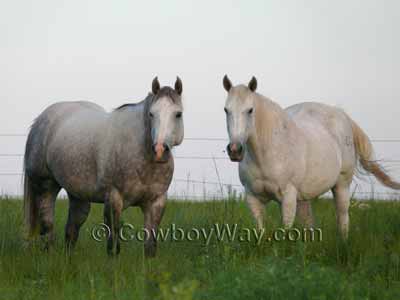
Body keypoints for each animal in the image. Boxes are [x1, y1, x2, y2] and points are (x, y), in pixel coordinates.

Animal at [23, 77, 183, 255]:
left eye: (178, 114)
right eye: (151, 114)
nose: (160, 150)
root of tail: (40, 120)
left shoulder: (156, 203)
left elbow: (150, 246)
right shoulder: (113, 199)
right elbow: (113, 244)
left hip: (78, 196)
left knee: (71, 230)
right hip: (46, 186)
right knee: (48, 226)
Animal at [222, 75, 400, 239]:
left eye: (250, 110)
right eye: (226, 110)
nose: (235, 150)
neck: (266, 154)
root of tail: (342, 114)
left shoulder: (288, 197)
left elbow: (286, 229)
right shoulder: (253, 198)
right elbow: (260, 230)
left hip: (342, 185)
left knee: (342, 218)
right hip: (304, 197)